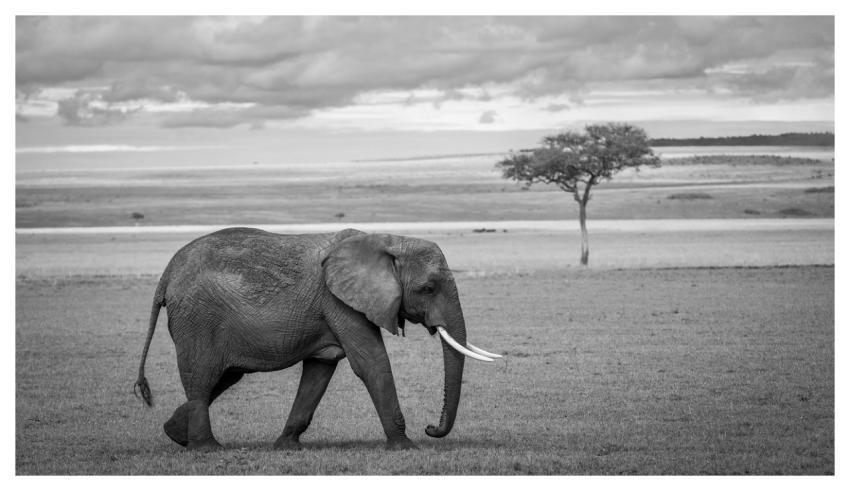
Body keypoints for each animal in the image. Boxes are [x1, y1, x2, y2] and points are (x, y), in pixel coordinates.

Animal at [134, 227, 500, 451]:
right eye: (428, 288)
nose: (431, 428)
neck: (388, 240)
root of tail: (167, 273)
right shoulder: (338, 301)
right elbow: (370, 363)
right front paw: (406, 446)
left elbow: (320, 369)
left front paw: (286, 446)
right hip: (197, 318)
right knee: (202, 376)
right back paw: (207, 448)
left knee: (223, 376)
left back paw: (176, 436)